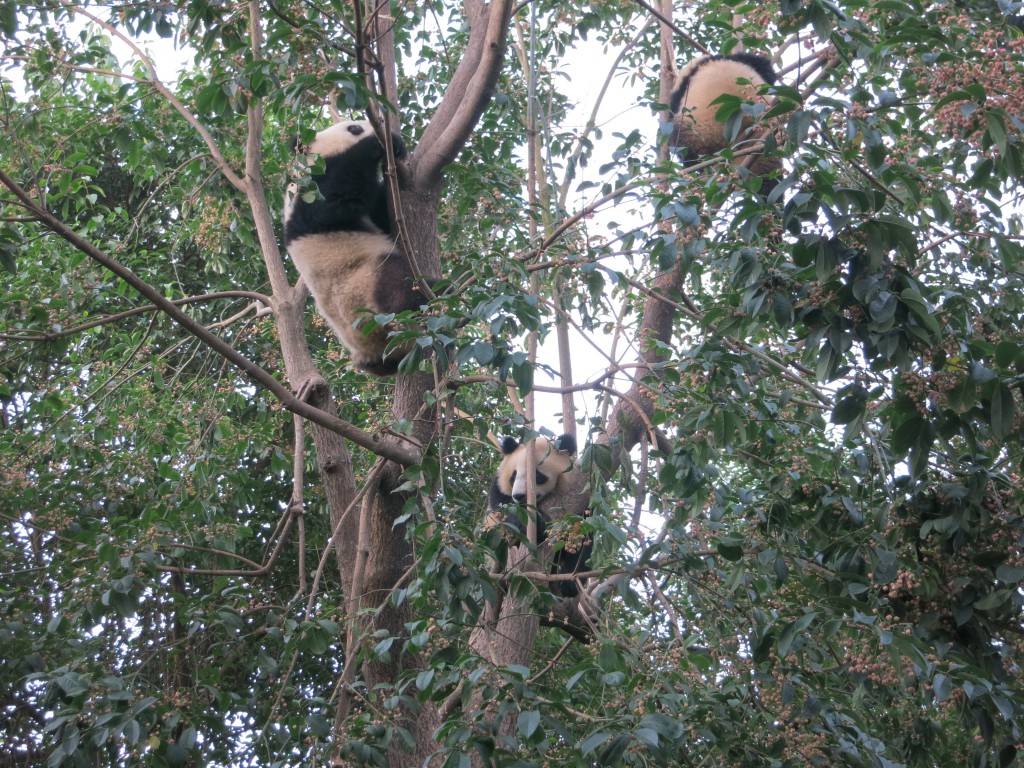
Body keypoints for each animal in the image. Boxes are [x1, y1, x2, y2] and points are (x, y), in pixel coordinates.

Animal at [284, 118, 432, 378]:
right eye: (354, 128)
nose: (380, 128)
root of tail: (373, 352)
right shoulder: (308, 196)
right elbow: (338, 196)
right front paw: (384, 144)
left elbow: (379, 213)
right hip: (362, 293)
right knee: (396, 283)